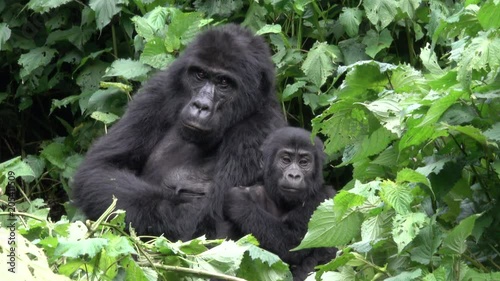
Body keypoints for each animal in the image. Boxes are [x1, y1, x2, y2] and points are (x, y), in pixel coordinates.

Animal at [71, 24, 286, 238]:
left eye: (224, 83)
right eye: (200, 75)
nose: (201, 105)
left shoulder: (260, 130)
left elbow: (214, 221)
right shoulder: (158, 92)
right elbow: (100, 169)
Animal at [224, 127, 336, 280]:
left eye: (304, 162)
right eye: (286, 160)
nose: (294, 175)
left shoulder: (326, 197)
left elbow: (296, 244)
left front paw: (240, 203)